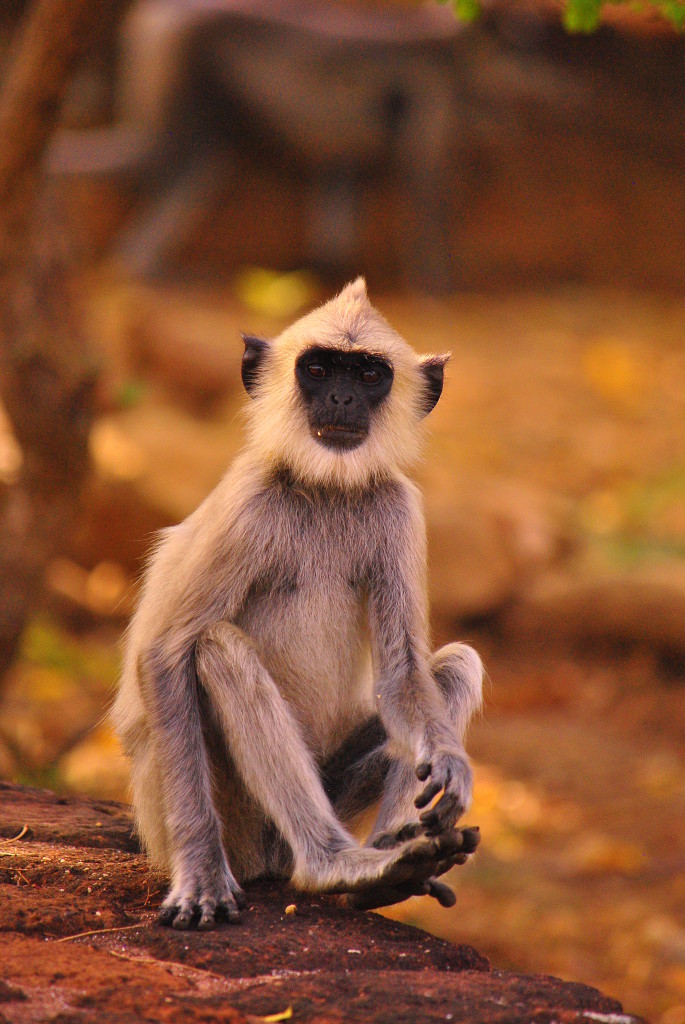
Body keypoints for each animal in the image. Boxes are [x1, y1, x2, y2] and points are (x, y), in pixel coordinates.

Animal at [112, 278, 483, 929]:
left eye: (367, 375)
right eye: (317, 369)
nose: (339, 396)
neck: (326, 486)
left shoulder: (398, 507)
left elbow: (402, 675)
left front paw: (449, 764)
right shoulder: (250, 504)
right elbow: (165, 655)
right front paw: (200, 874)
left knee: (456, 664)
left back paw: (391, 867)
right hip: (226, 819)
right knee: (217, 647)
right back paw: (333, 864)